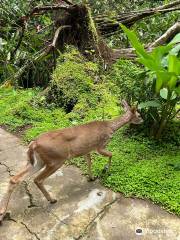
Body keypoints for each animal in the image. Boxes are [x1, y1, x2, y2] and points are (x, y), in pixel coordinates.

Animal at [0, 100, 143, 223]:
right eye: (139, 114)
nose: (142, 120)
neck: (110, 127)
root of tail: (34, 144)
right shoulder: (100, 146)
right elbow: (111, 154)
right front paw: (106, 170)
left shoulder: (86, 150)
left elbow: (89, 162)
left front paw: (91, 178)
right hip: (56, 160)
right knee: (37, 179)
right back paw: (52, 199)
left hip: (37, 161)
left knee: (15, 178)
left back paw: (3, 212)